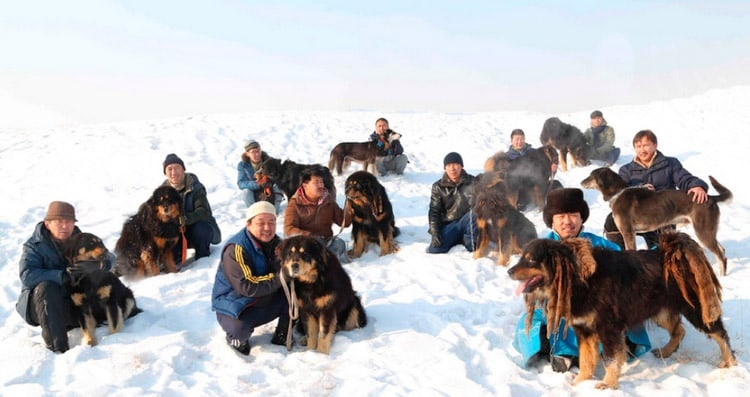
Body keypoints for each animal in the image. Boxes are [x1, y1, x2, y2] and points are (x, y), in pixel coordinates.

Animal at [508, 230, 736, 388]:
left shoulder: (608, 328)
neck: (577, 277)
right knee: (679, 330)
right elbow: (586, 360)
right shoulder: (585, 330)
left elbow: (611, 359)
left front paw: (608, 384)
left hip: (696, 310)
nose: (509, 271)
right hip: (659, 310)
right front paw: (580, 383)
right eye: (521, 257)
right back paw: (666, 351)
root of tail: (670, 252)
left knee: (720, 333)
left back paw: (730, 363)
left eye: (530, 259)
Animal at [580, 166, 736, 276]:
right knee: (722, 250)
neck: (618, 194)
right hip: (708, 231)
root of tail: (710, 197)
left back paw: (722, 276)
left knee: (721, 255)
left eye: (591, 175)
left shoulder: (627, 232)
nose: (581, 182)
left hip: (703, 231)